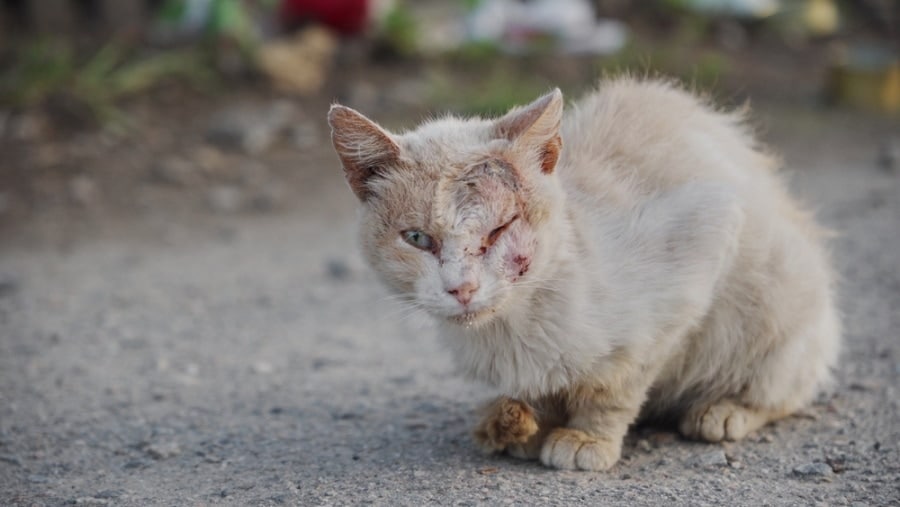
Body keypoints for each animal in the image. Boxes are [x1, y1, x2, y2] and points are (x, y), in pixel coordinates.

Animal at [326, 78, 840, 472]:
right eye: (417, 238)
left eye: (500, 228)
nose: (462, 287)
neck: (515, 324)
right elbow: (546, 389)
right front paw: (531, 424)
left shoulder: (703, 238)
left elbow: (618, 383)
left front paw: (588, 438)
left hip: (779, 299)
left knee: (789, 385)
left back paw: (726, 410)